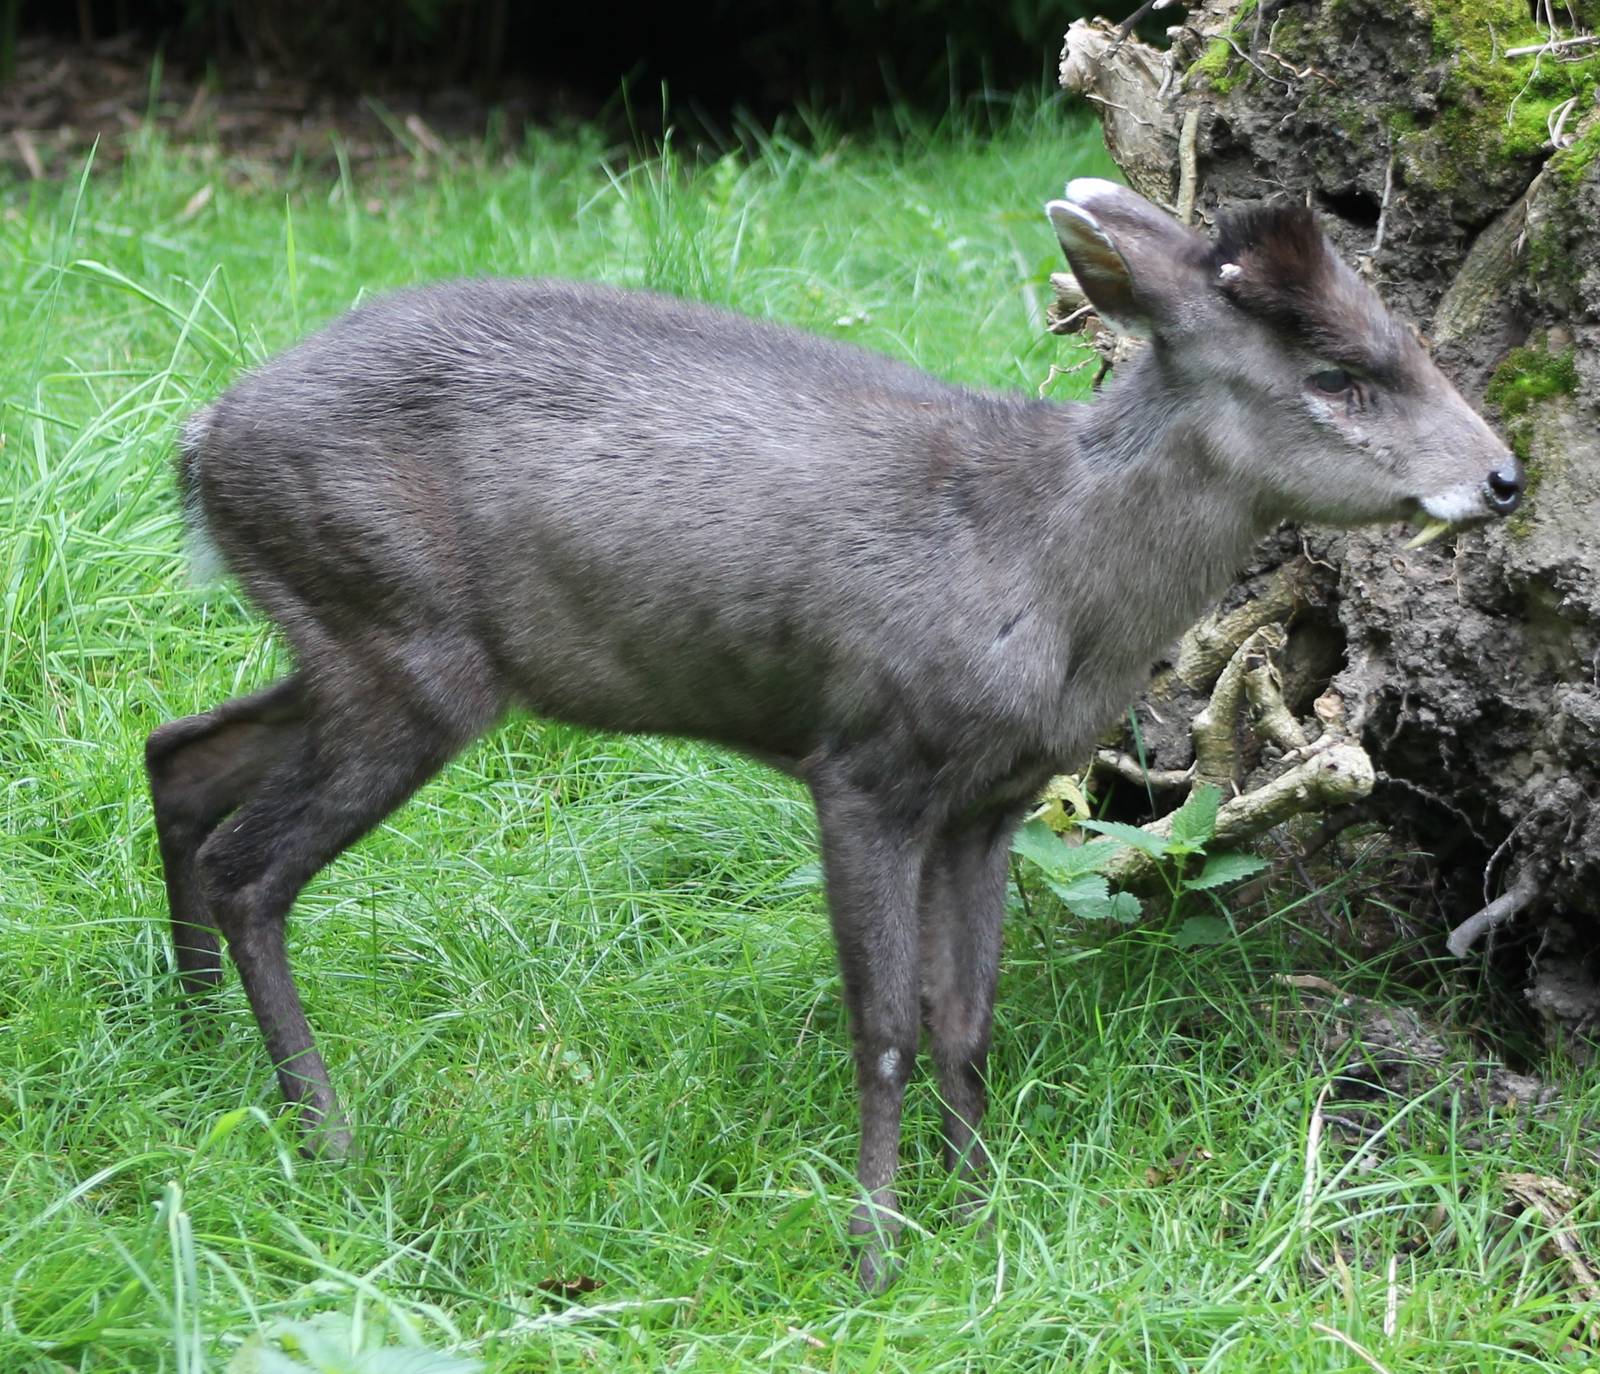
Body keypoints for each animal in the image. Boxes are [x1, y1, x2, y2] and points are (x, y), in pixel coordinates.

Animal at [146, 179, 1523, 1290]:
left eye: (1406, 335)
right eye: (1335, 377)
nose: (1505, 477)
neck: (1046, 567)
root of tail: (202, 440)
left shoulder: (991, 801)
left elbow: (967, 1018)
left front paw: (981, 1220)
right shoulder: (867, 763)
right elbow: (886, 1025)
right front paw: (873, 1252)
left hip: (361, 651)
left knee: (177, 754)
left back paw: (204, 1056)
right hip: (404, 649)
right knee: (249, 867)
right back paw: (325, 1136)